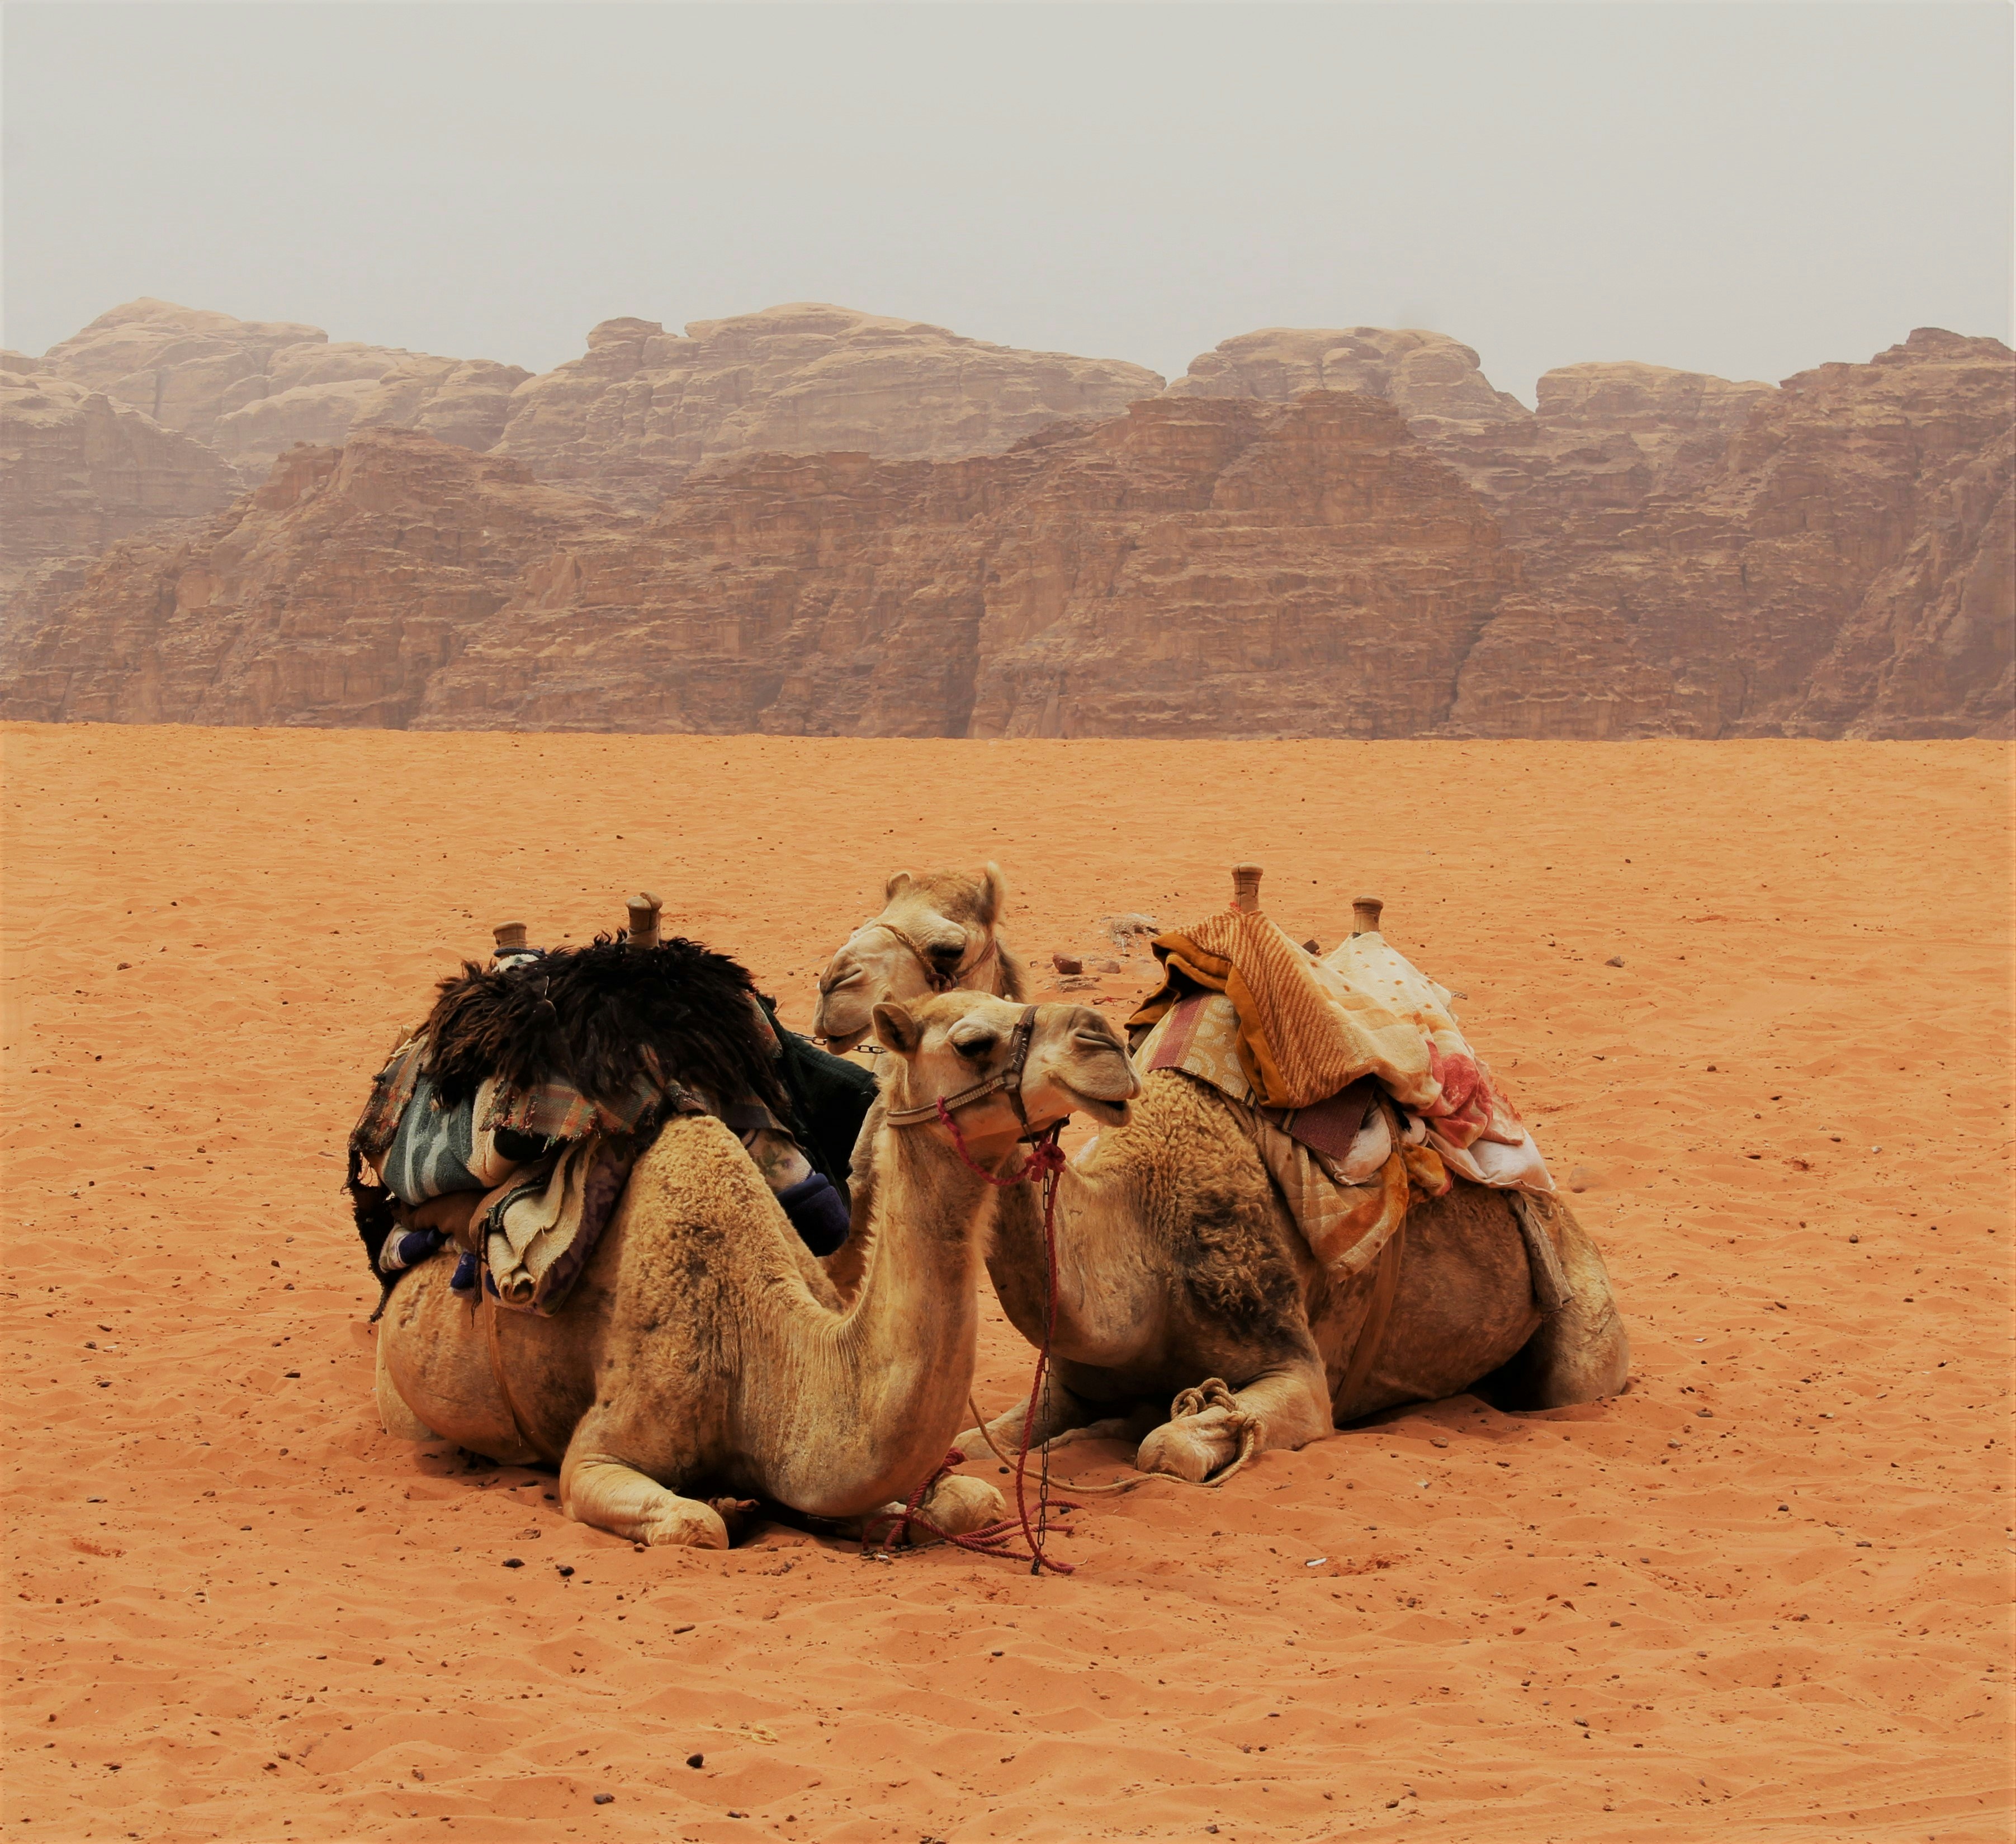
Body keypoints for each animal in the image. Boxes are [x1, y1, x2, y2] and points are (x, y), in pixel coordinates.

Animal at [374, 991, 1141, 1547]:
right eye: (972, 1042)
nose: (1106, 1042)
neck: (759, 1348)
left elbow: (971, 1499)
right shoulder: (596, 1454)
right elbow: (696, 1522)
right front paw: (725, 1501)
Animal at [813, 868, 1630, 1484]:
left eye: (947, 945)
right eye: (869, 915)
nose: (833, 985)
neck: (1136, 1234)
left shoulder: (1298, 1373)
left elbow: (1167, 1446)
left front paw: (1148, 1428)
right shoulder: (1068, 1379)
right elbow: (980, 1445)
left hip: (1582, 1331)